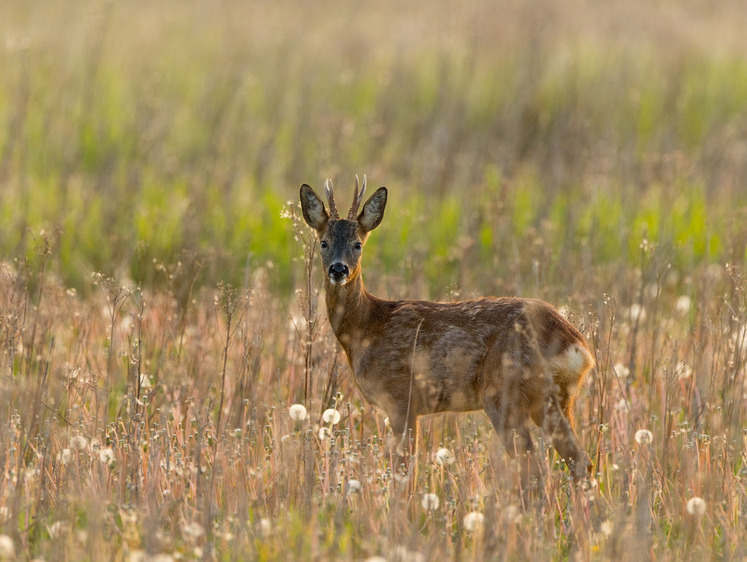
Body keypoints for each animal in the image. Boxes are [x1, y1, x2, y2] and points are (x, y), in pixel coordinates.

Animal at [300, 176, 596, 482]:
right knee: (581, 462)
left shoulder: (401, 397)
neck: (368, 327)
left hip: (504, 393)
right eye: (323, 242)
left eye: (357, 244)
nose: (338, 269)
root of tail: (577, 346)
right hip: (554, 400)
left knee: (534, 469)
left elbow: (404, 472)